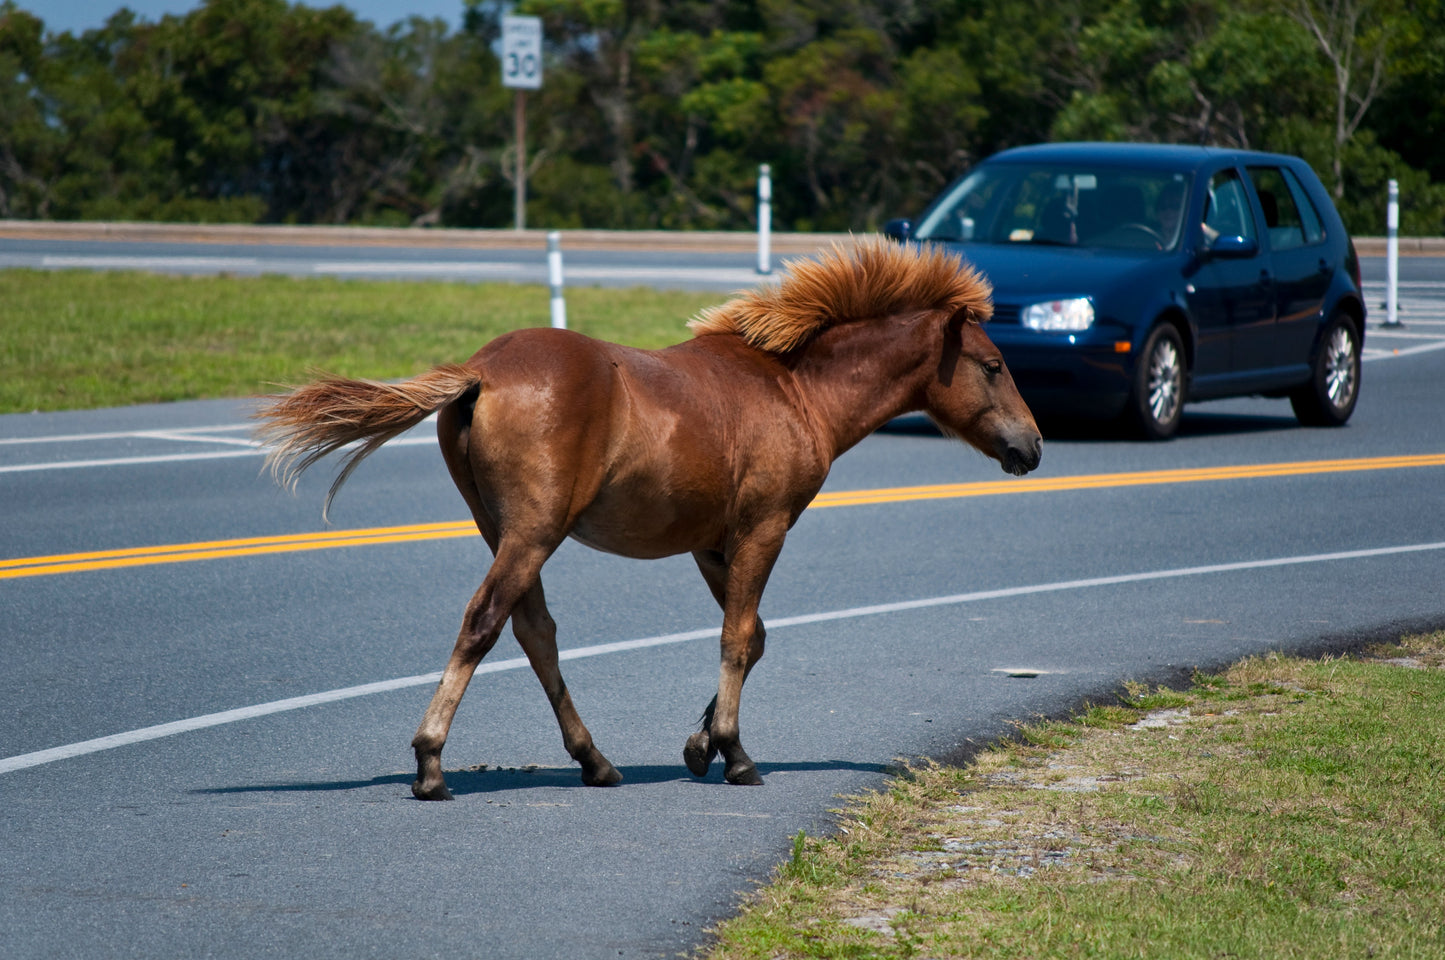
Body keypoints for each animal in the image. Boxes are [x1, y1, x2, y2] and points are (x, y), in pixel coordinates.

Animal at [251, 240, 1040, 803]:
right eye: (993, 364)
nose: (1030, 447)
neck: (794, 391)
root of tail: (481, 371)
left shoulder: (711, 544)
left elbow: (753, 637)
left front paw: (699, 746)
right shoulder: (764, 529)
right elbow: (737, 639)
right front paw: (735, 754)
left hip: (503, 529)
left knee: (534, 631)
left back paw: (595, 761)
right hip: (533, 532)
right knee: (485, 622)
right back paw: (431, 763)